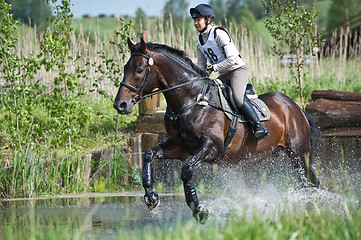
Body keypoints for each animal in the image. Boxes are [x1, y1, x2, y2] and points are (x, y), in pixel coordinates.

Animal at [112, 37, 318, 223]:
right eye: (125, 68)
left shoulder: (212, 148)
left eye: (139, 70)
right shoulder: (179, 147)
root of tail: (295, 107)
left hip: (299, 154)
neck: (191, 100)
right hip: (260, 156)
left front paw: (199, 210)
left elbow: (187, 171)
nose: (120, 105)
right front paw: (151, 197)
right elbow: (149, 154)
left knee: (311, 180)